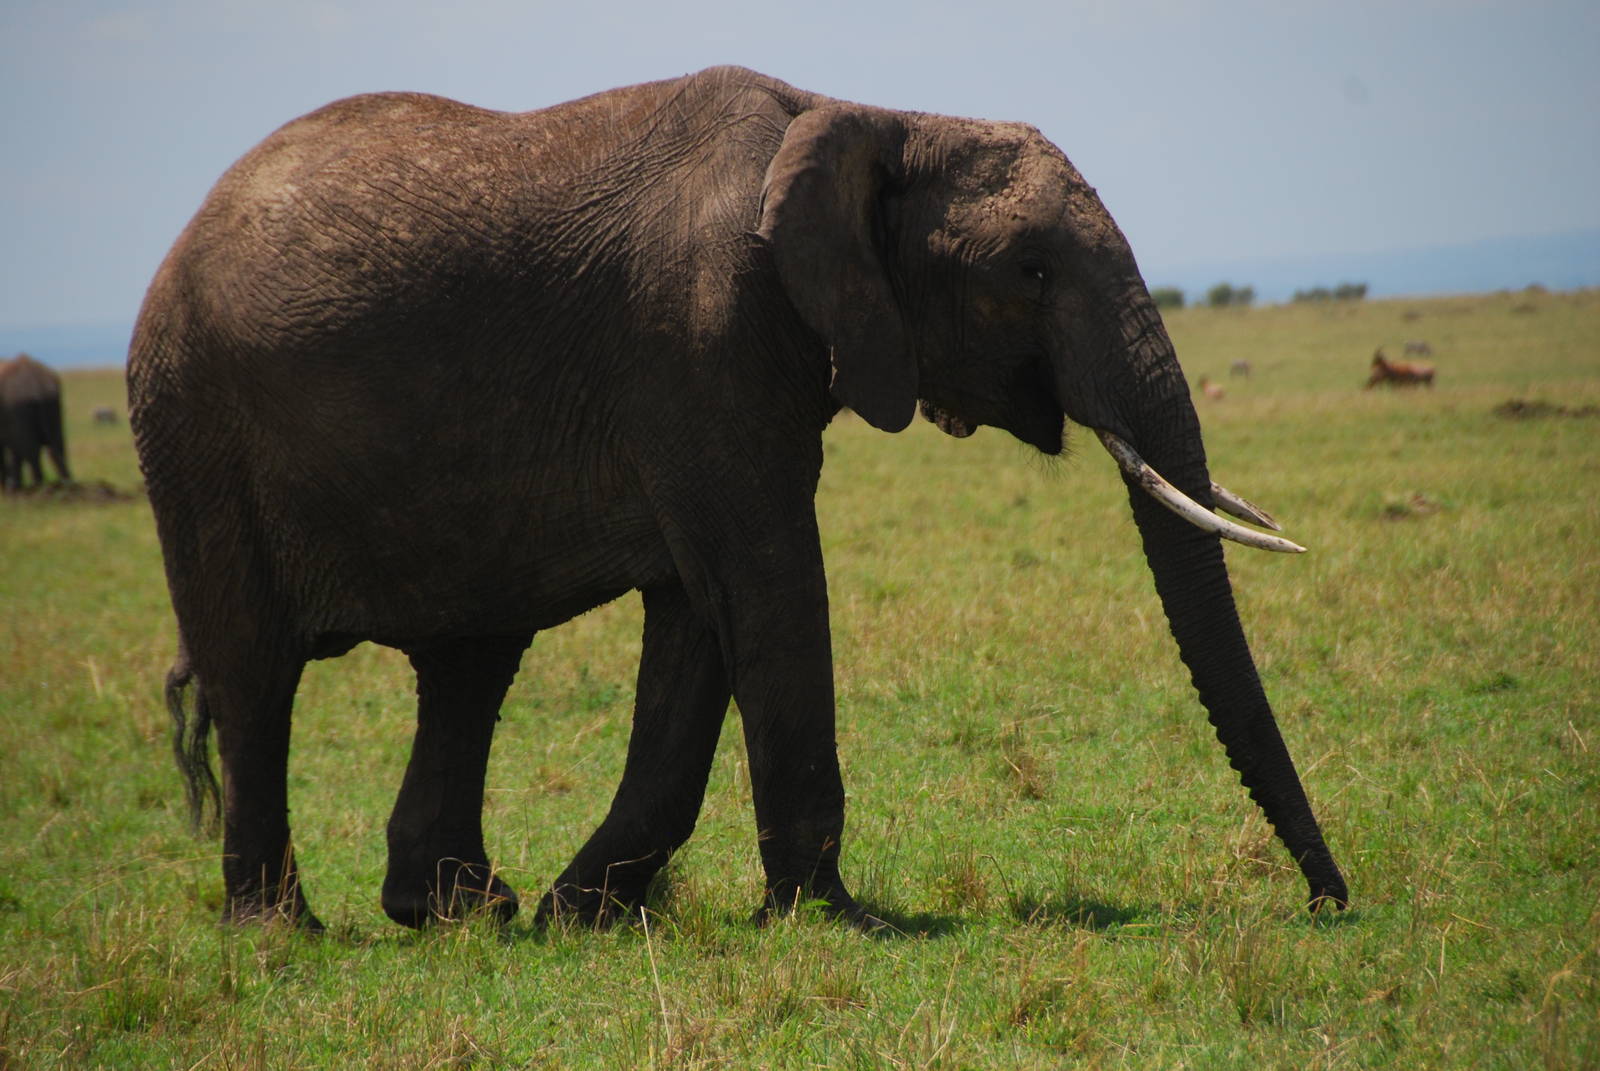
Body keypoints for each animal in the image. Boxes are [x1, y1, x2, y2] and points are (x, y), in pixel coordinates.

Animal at [1, 353, 72, 492]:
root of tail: (36, 384)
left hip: (18, 407)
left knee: (31, 451)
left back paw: (37, 488)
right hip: (53, 404)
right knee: (57, 446)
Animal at [127, 65, 1347, 931]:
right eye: (1032, 272)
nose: (1330, 901)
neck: (867, 113)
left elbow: (700, 617)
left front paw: (584, 917)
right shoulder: (701, 337)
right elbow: (765, 580)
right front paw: (840, 924)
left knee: (469, 661)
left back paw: (465, 912)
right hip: (191, 425)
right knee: (255, 672)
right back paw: (279, 934)